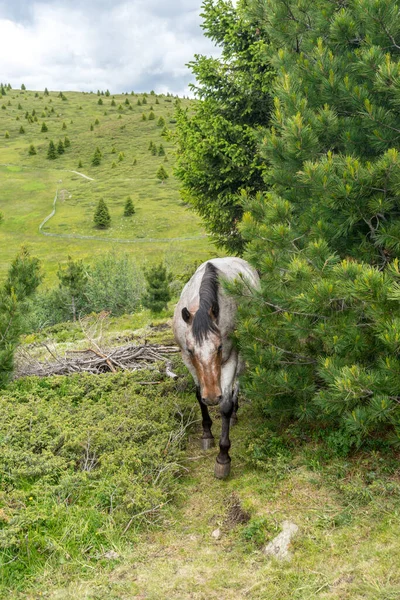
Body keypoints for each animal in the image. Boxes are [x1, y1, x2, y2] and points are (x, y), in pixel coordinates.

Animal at [172, 258, 260, 478]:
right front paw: (206, 434)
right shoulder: (187, 360)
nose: (212, 397)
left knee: (238, 381)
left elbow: (226, 405)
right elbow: (198, 396)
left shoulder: (229, 357)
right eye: (191, 350)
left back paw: (235, 413)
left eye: (219, 347)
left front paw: (223, 457)